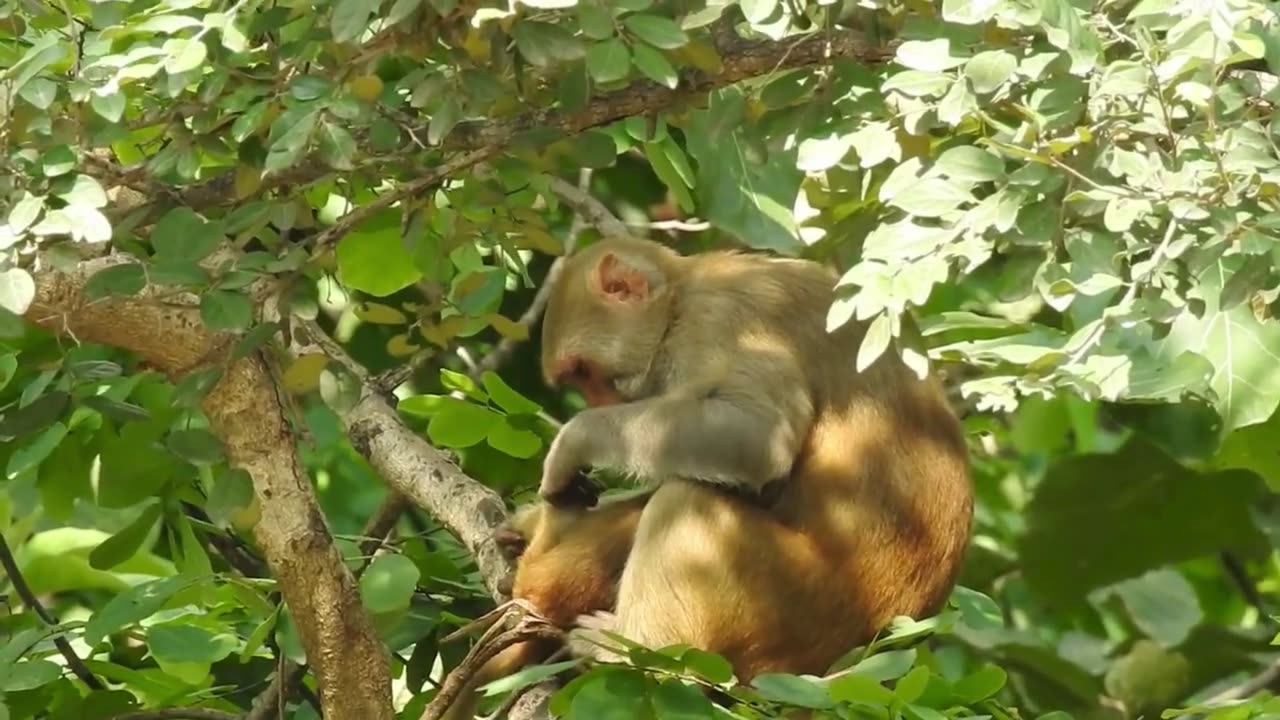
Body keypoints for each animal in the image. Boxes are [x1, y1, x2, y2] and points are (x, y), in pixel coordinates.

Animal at [439, 235, 973, 716]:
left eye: (586, 372)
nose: (596, 402)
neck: (681, 295)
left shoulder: (722, 323)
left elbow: (757, 435)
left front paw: (575, 440)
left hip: (799, 607)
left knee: (688, 500)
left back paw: (639, 650)